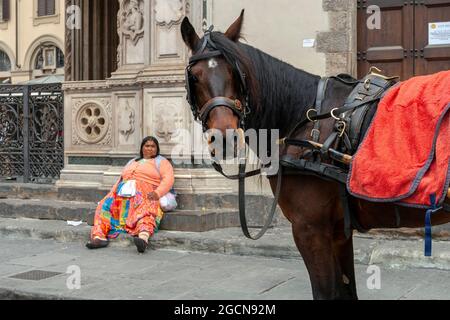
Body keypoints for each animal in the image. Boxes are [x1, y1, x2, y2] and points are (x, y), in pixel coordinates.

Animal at [180, 10, 450, 300]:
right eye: (194, 77)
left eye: (237, 72)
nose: (226, 139)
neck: (305, 116)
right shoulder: (338, 231)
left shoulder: (309, 229)